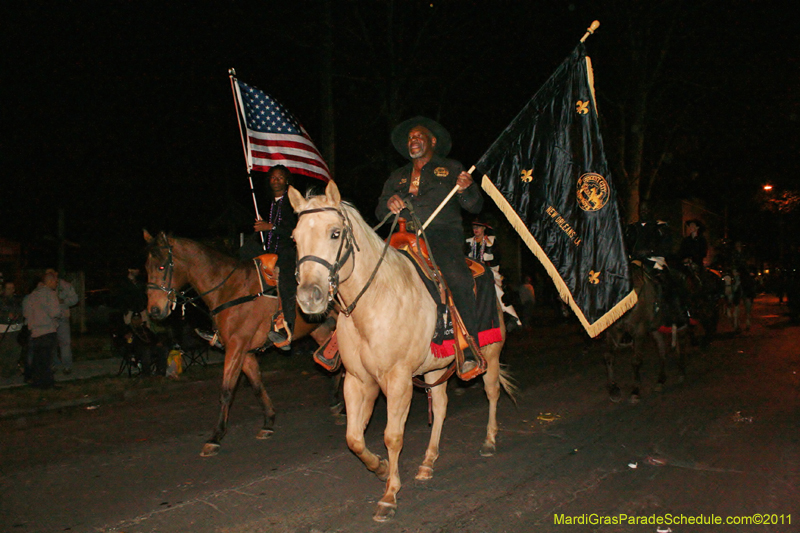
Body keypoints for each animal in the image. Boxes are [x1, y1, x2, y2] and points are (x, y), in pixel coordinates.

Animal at [145, 231, 336, 456]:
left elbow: (227, 391)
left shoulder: (237, 346)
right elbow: (256, 385)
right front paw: (268, 422)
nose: (154, 310)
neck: (230, 290)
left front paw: (215, 437)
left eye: (161, 267)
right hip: (320, 329)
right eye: (146, 268)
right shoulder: (244, 351)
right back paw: (337, 404)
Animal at [286, 182, 512, 520]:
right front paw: (379, 468)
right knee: (441, 406)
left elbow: (392, 436)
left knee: (492, 392)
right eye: (295, 237)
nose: (309, 297)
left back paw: (489, 441)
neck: (376, 300)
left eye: (335, 233)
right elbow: (354, 438)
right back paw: (427, 463)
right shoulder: (357, 380)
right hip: (435, 368)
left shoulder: (398, 381)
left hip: (492, 354)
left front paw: (389, 495)